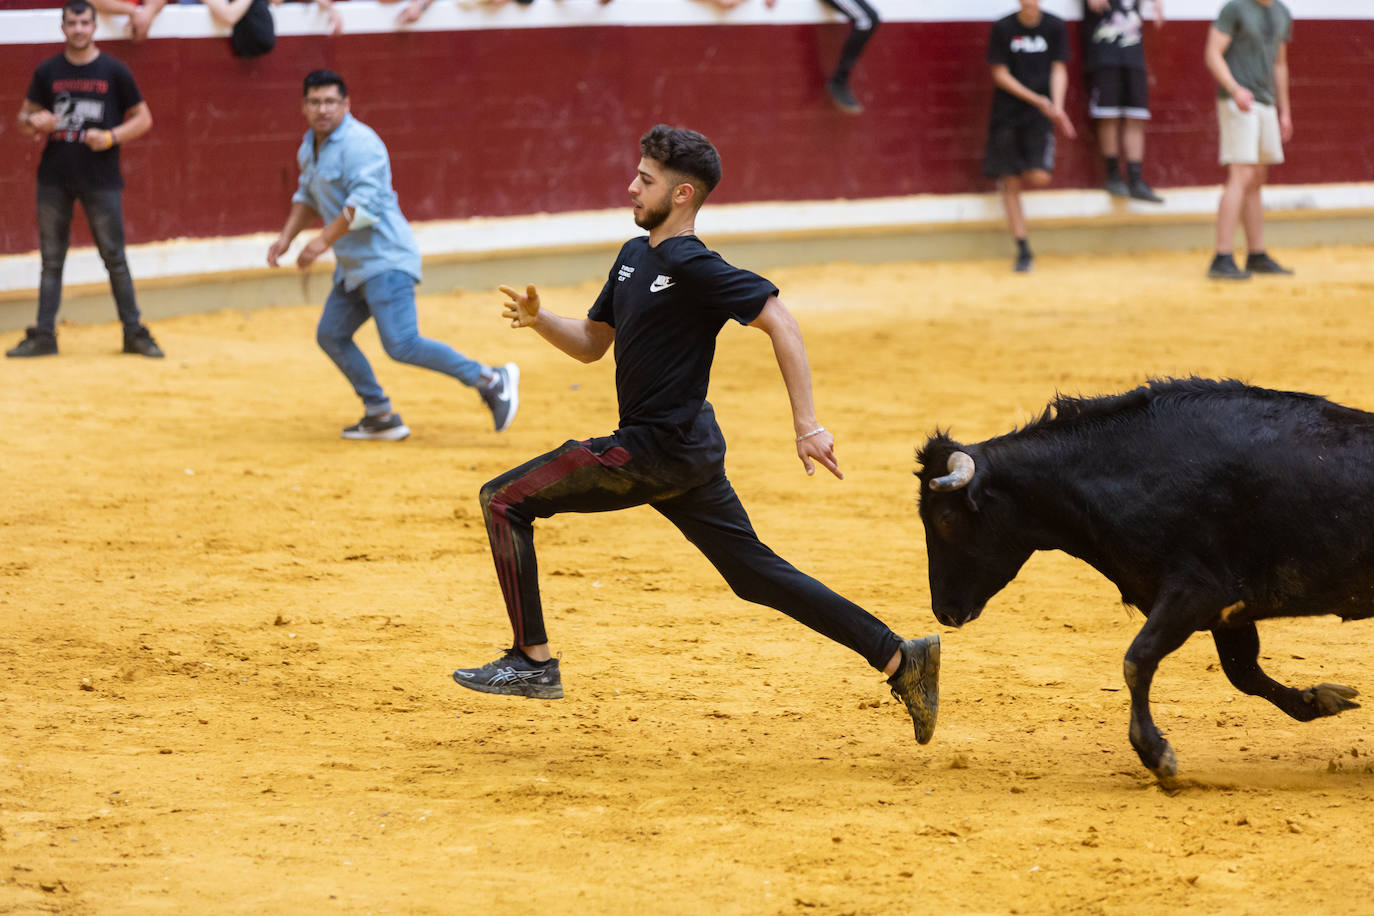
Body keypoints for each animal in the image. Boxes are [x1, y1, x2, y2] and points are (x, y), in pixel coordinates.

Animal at [912, 379, 1374, 780]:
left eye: (946, 518)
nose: (944, 611)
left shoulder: (1196, 593)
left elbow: (1138, 659)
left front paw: (1156, 755)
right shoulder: (1228, 611)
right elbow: (1243, 673)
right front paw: (1320, 700)